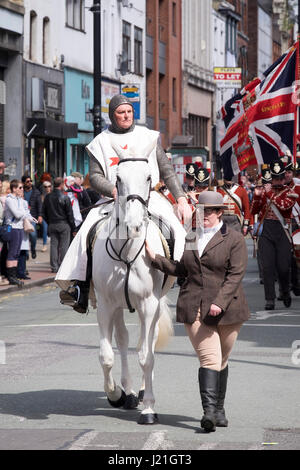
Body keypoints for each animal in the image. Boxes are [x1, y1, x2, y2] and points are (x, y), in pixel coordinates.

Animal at [92, 146, 175, 422]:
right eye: (118, 179)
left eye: (149, 177)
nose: (134, 224)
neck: (126, 251)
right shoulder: (106, 305)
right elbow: (107, 356)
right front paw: (115, 393)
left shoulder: (149, 305)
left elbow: (146, 356)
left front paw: (149, 407)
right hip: (119, 307)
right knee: (123, 340)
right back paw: (128, 393)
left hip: (153, 306)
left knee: (146, 344)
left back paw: (140, 392)